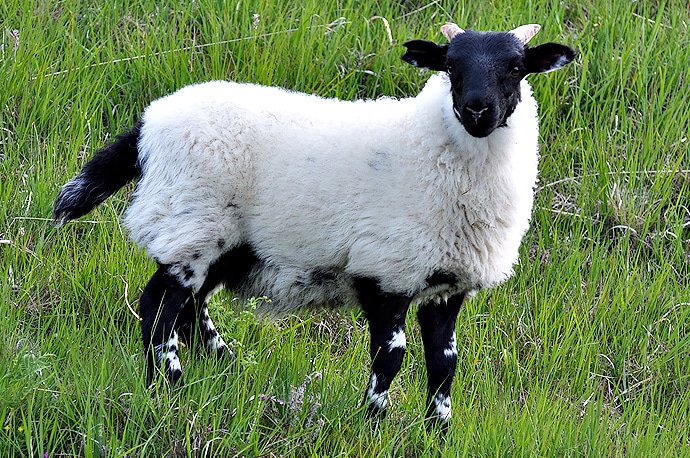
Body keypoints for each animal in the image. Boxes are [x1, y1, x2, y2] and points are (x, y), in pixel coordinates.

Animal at [51, 21, 572, 430]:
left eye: (516, 67)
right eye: (450, 66)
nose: (477, 110)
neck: (432, 145)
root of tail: (148, 125)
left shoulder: (446, 284)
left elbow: (444, 365)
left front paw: (437, 433)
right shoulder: (386, 268)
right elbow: (391, 356)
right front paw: (372, 424)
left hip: (224, 241)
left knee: (192, 306)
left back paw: (226, 367)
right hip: (193, 222)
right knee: (159, 306)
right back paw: (171, 386)